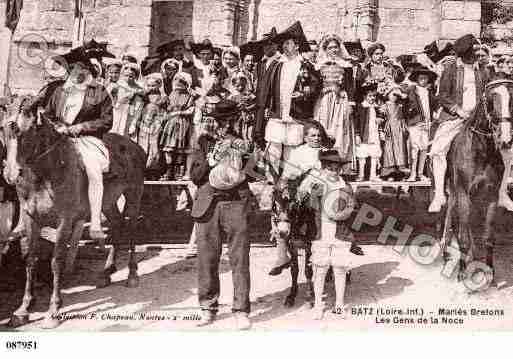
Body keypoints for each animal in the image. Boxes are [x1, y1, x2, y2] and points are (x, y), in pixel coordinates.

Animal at [1, 96, 146, 330]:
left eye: (31, 129)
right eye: (4, 127)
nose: (11, 173)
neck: (45, 173)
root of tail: (135, 146)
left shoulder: (64, 221)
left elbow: (56, 261)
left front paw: (53, 309)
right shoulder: (31, 219)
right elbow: (30, 258)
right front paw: (23, 308)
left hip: (133, 195)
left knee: (131, 231)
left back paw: (132, 275)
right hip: (107, 203)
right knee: (117, 225)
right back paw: (106, 272)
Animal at [438, 79, 512, 290]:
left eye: (511, 97)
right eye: (492, 100)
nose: (506, 140)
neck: (482, 149)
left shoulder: (491, 196)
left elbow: (488, 237)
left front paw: (490, 274)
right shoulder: (463, 193)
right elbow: (462, 234)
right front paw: (462, 274)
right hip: (453, 191)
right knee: (450, 216)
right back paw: (446, 252)